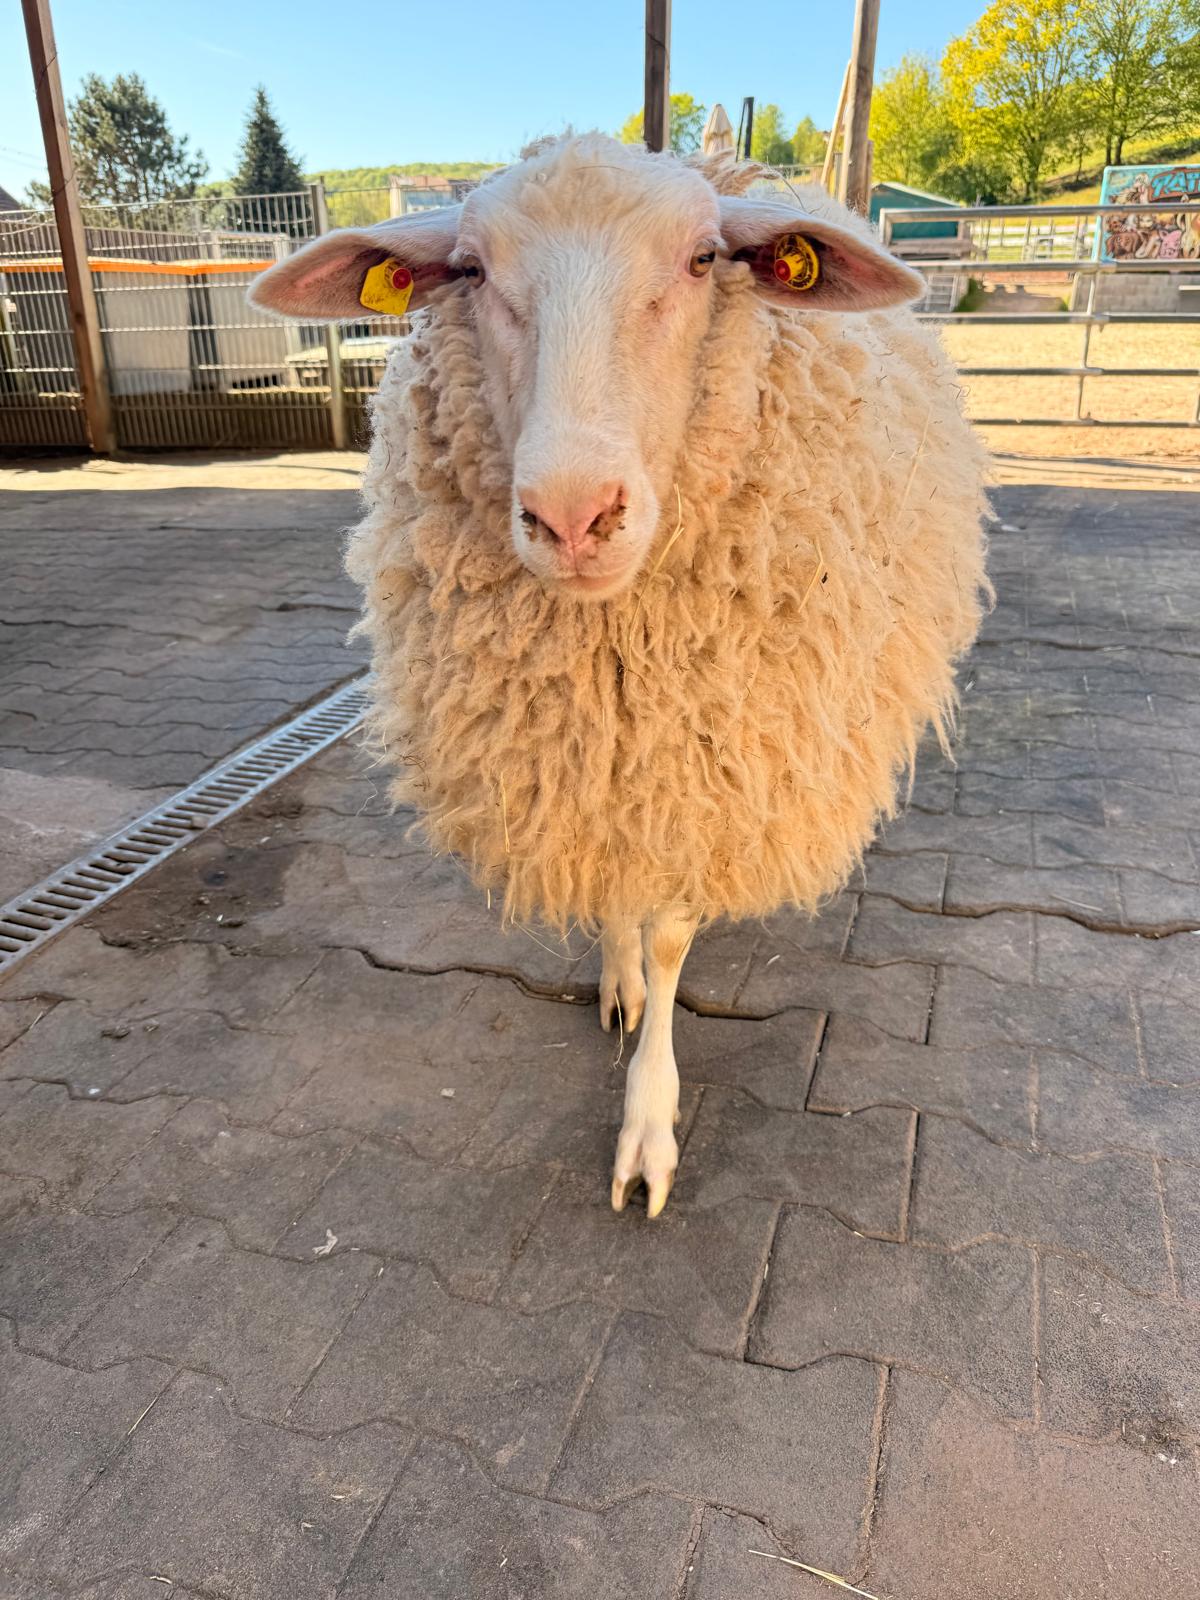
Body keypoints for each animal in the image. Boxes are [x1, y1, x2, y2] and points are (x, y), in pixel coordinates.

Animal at [250, 133, 990, 1219]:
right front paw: (619, 976)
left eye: (702, 260)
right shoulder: (592, 762)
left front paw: (649, 1117)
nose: (571, 515)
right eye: (471, 271)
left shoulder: (708, 762)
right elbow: (612, 888)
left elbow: (676, 934)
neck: (616, 655)